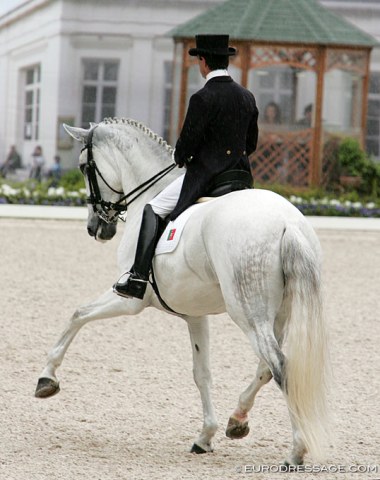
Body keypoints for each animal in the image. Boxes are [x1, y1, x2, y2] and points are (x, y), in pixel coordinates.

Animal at [35, 118, 330, 466]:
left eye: (83, 166)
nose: (97, 228)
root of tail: (288, 223)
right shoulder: (195, 314)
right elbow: (201, 373)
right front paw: (205, 436)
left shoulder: (129, 300)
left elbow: (77, 314)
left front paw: (47, 379)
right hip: (278, 314)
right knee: (267, 367)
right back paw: (237, 420)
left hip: (248, 312)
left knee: (279, 365)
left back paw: (296, 451)